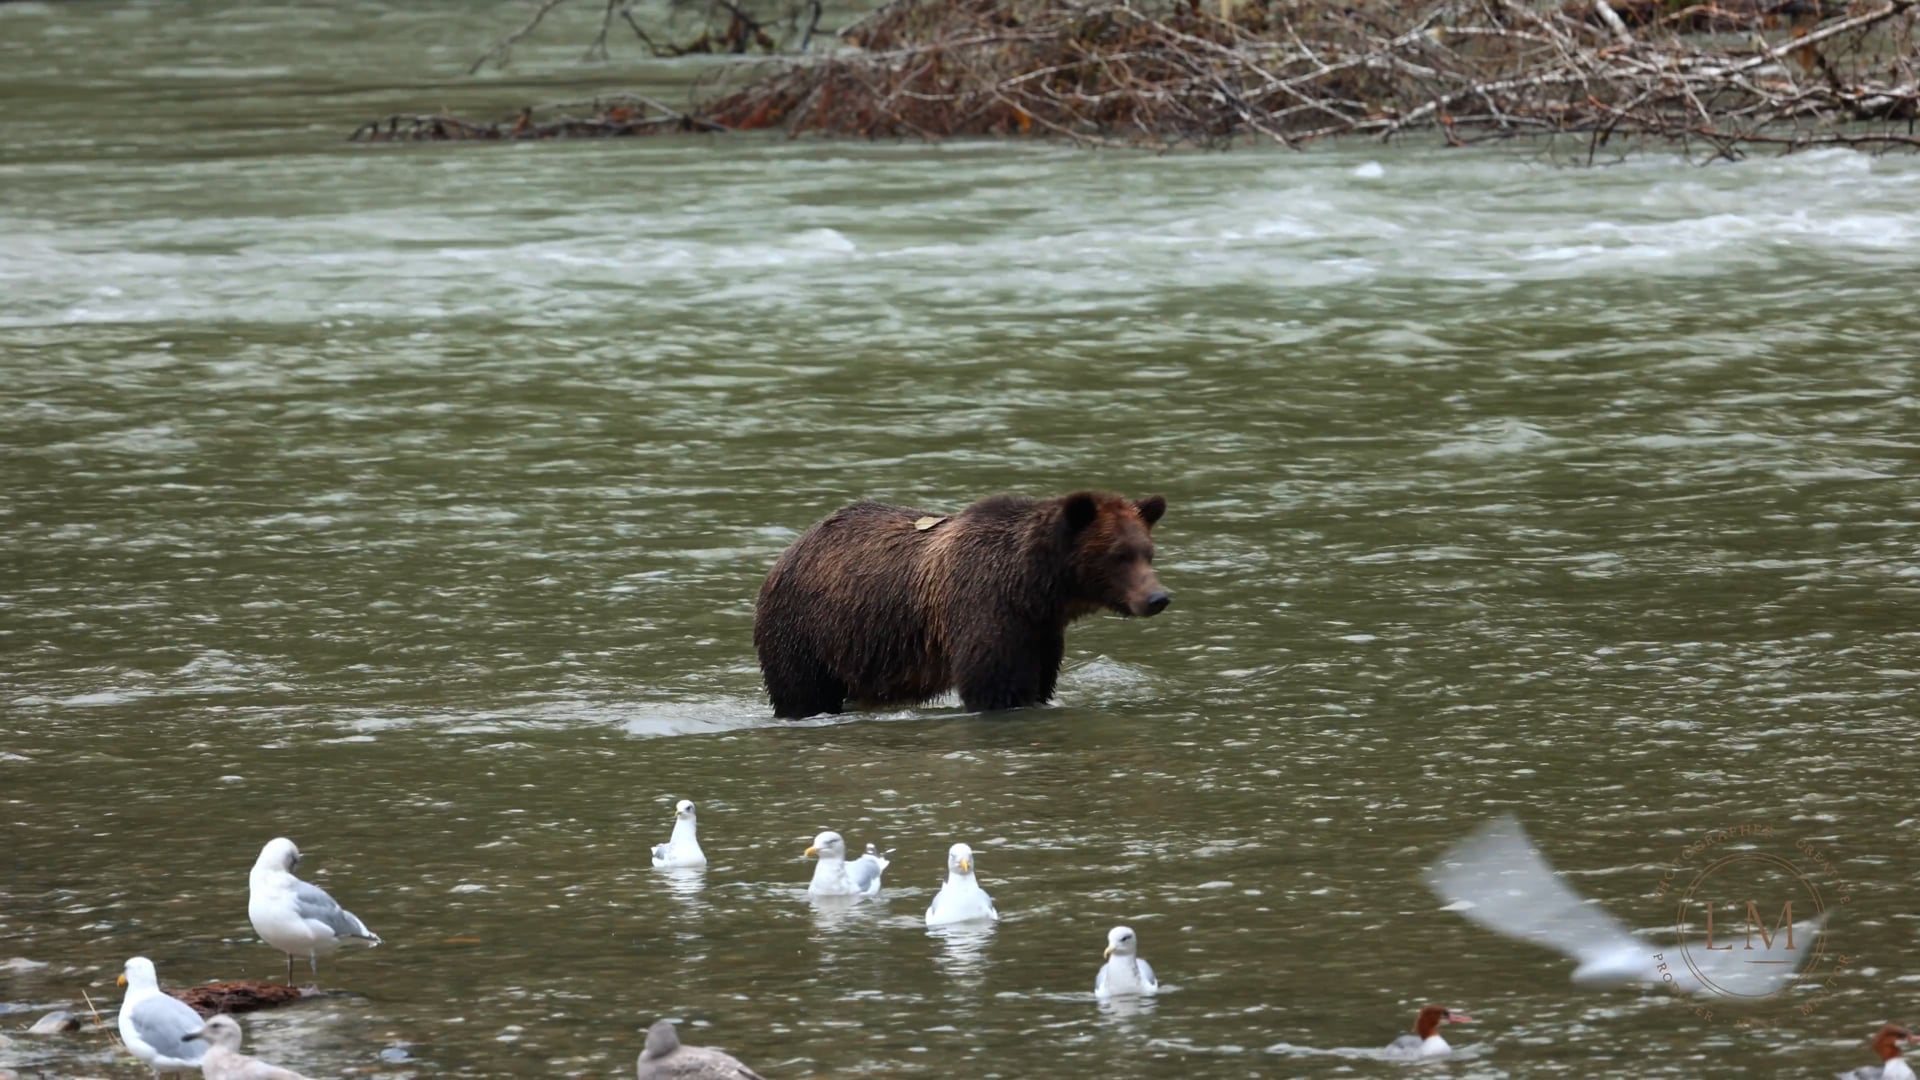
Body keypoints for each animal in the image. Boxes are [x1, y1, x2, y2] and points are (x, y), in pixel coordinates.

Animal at [752, 490, 1170, 719]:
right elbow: (995, 687)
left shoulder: (1040, 632)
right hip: (806, 630)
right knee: (802, 691)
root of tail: (790, 550)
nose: (1157, 598)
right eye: (1119, 555)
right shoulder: (983, 608)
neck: (1031, 587)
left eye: (1147, 552)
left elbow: (1038, 683)